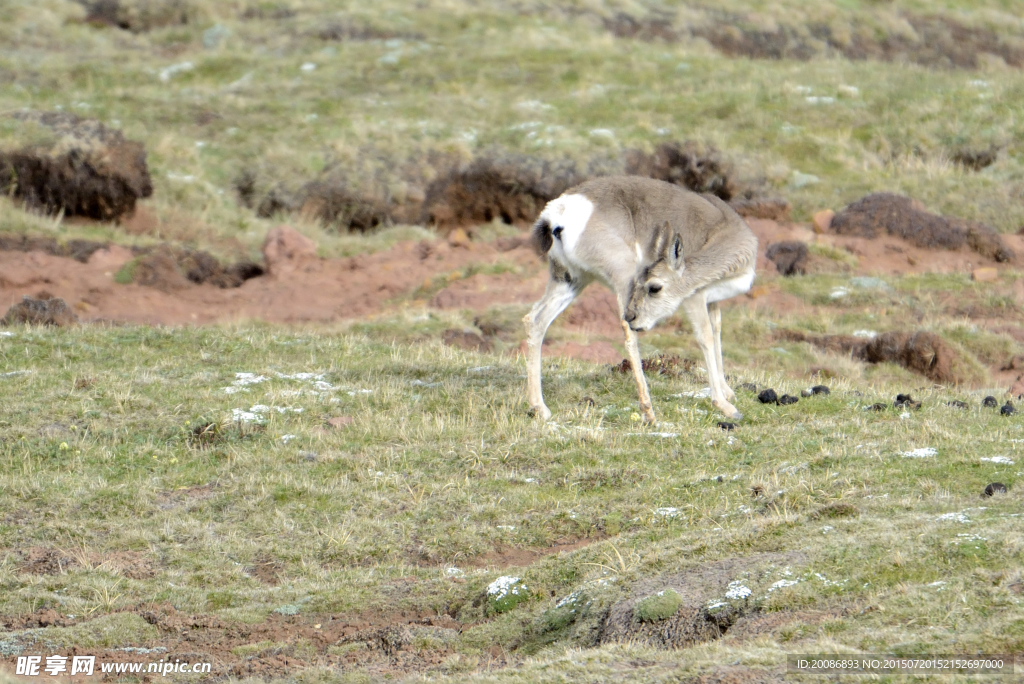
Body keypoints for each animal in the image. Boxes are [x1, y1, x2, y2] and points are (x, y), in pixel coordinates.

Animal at [524, 176, 757, 421]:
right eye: (654, 287)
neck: (722, 230)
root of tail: (559, 209)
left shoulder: (713, 301)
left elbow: (717, 330)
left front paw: (727, 392)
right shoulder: (695, 298)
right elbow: (706, 338)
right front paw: (724, 405)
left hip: (571, 281)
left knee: (535, 320)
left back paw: (539, 407)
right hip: (621, 281)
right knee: (628, 333)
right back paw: (649, 411)